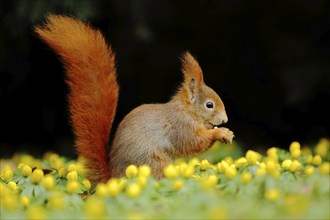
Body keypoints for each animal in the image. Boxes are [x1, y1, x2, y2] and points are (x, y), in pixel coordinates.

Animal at [34, 15, 233, 183]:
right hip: (151, 162)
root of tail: (113, 178)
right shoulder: (180, 126)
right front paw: (221, 133)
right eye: (209, 105)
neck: (187, 110)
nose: (225, 120)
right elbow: (192, 142)